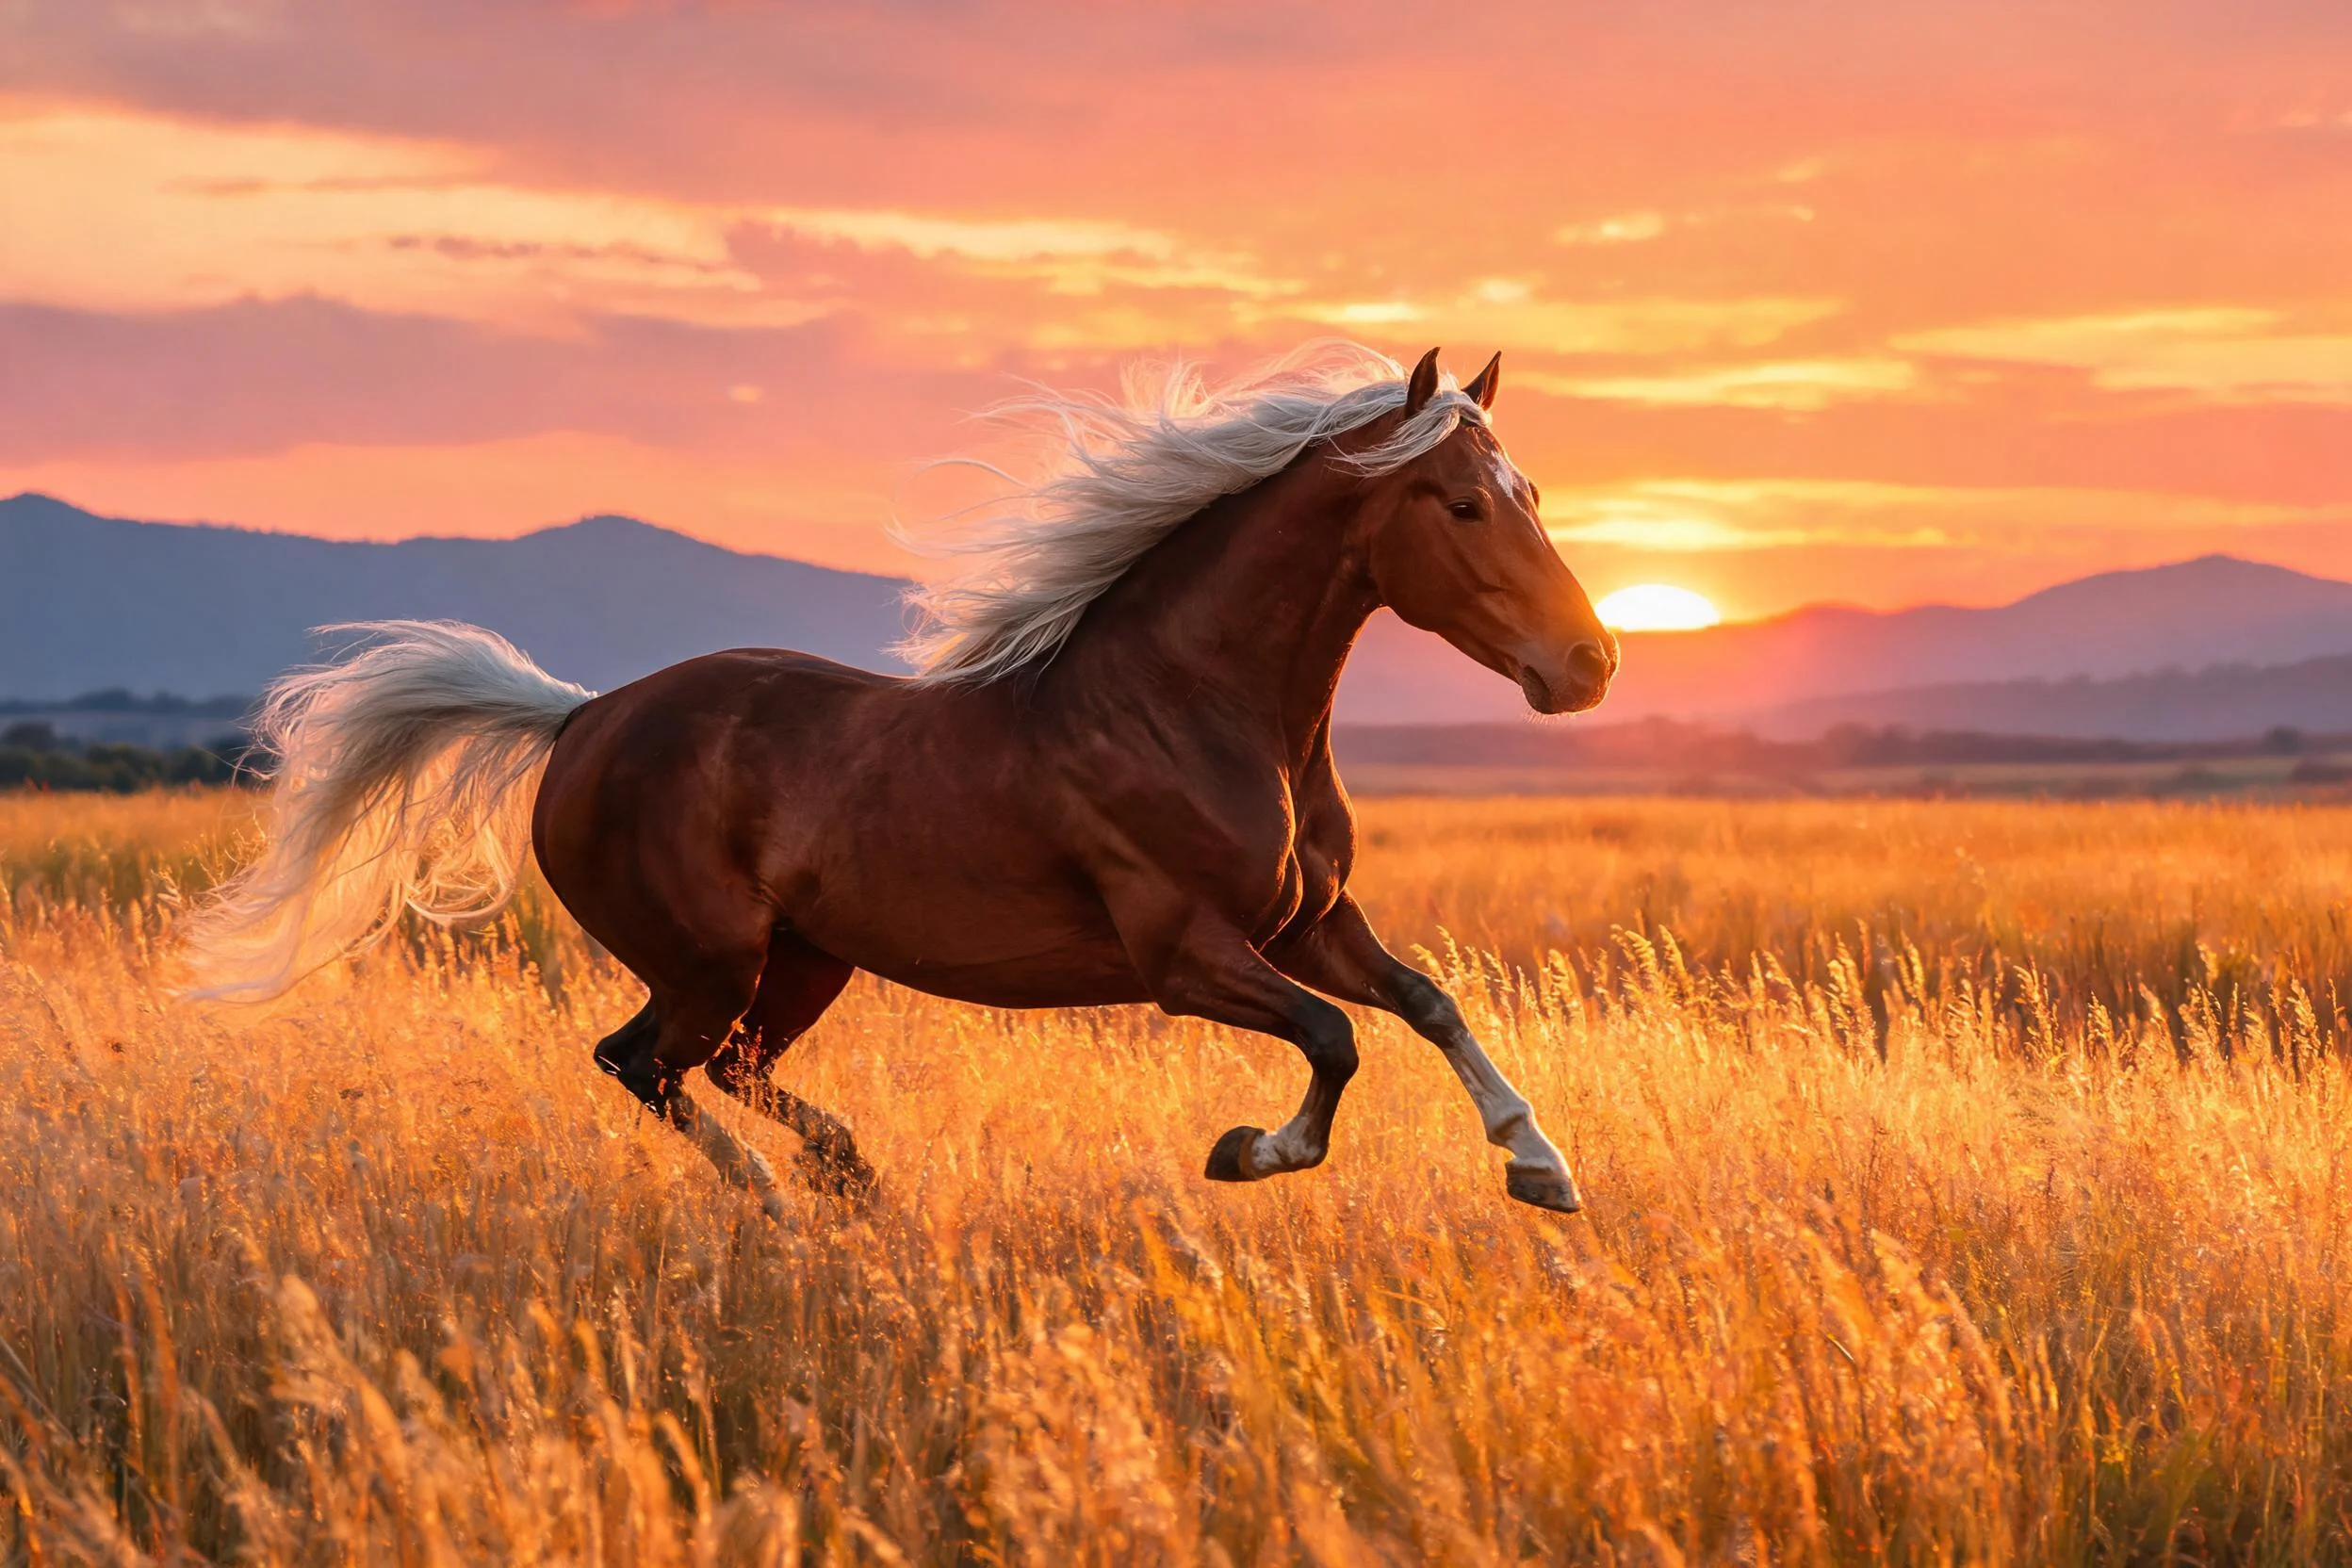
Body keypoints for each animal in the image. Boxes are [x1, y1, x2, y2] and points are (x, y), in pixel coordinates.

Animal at [182, 344, 1619, 1218]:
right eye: (1460, 504)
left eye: (1532, 490)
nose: (1588, 666)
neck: (1197, 710)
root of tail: (581, 718)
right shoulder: (1185, 954)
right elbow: (1335, 1041)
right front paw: (1249, 1153)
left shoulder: (1310, 921)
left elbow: (1426, 1004)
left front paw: (1543, 1168)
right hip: (708, 954)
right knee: (642, 1063)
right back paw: (777, 1201)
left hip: (806, 957)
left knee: (722, 1069)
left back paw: (847, 1178)